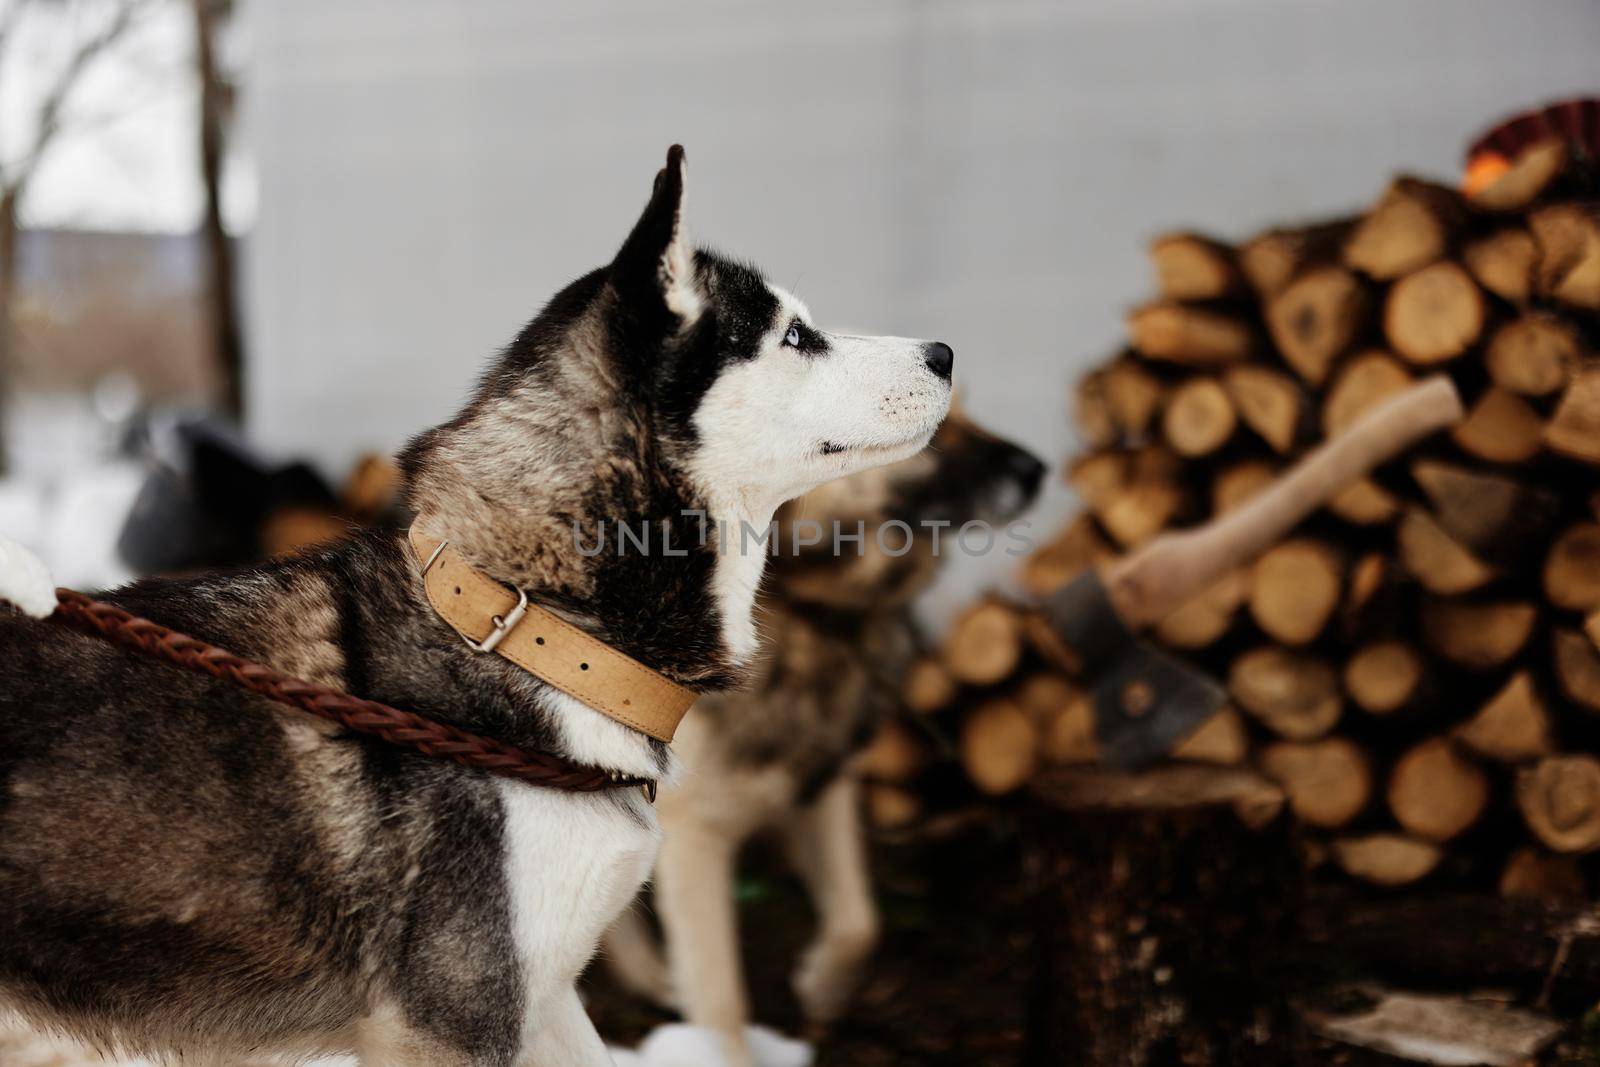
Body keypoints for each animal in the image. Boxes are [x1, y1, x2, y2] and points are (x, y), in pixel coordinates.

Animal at [601, 403, 1036, 1067]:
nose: (1039, 470)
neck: (798, 608)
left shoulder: (820, 782)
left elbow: (860, 921)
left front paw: (824, 986)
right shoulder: (694, 836)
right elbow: (722, 997)